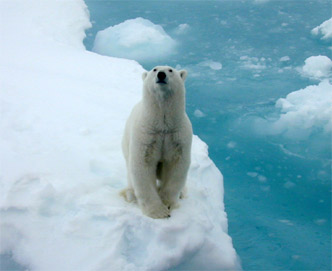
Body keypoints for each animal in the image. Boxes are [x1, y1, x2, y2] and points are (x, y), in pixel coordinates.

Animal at [120, 67, 192, 220]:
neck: (162, 125)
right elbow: (143, 165)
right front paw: (158, 212)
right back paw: (130, 194)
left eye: (170, 70)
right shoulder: (146, 135)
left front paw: (167, 204)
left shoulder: (177, 135)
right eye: (155, 69)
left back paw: (182, 193)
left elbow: (176, 166)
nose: (161, 75)